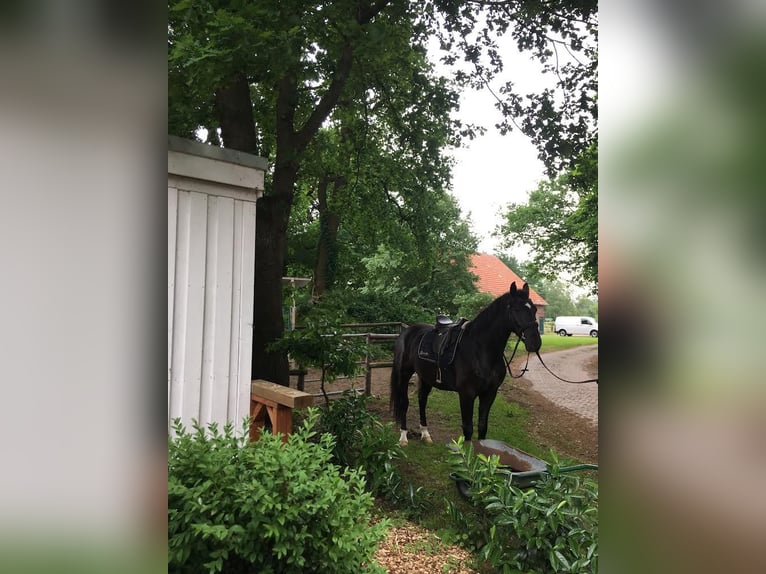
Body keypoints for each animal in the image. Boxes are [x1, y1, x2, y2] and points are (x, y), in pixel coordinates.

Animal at [392, 284, 544, 450]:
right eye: (516, 309)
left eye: (534, 309)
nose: (535, 343)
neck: (480, 350)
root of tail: (407, 331)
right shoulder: (466, 394)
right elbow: (468, 429)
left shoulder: (489, 394)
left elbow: (482, 427)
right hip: (404, 374)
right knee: (404, 402)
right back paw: (403, 437)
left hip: (425, 377)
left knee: (422, 401)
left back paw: (426, 435)